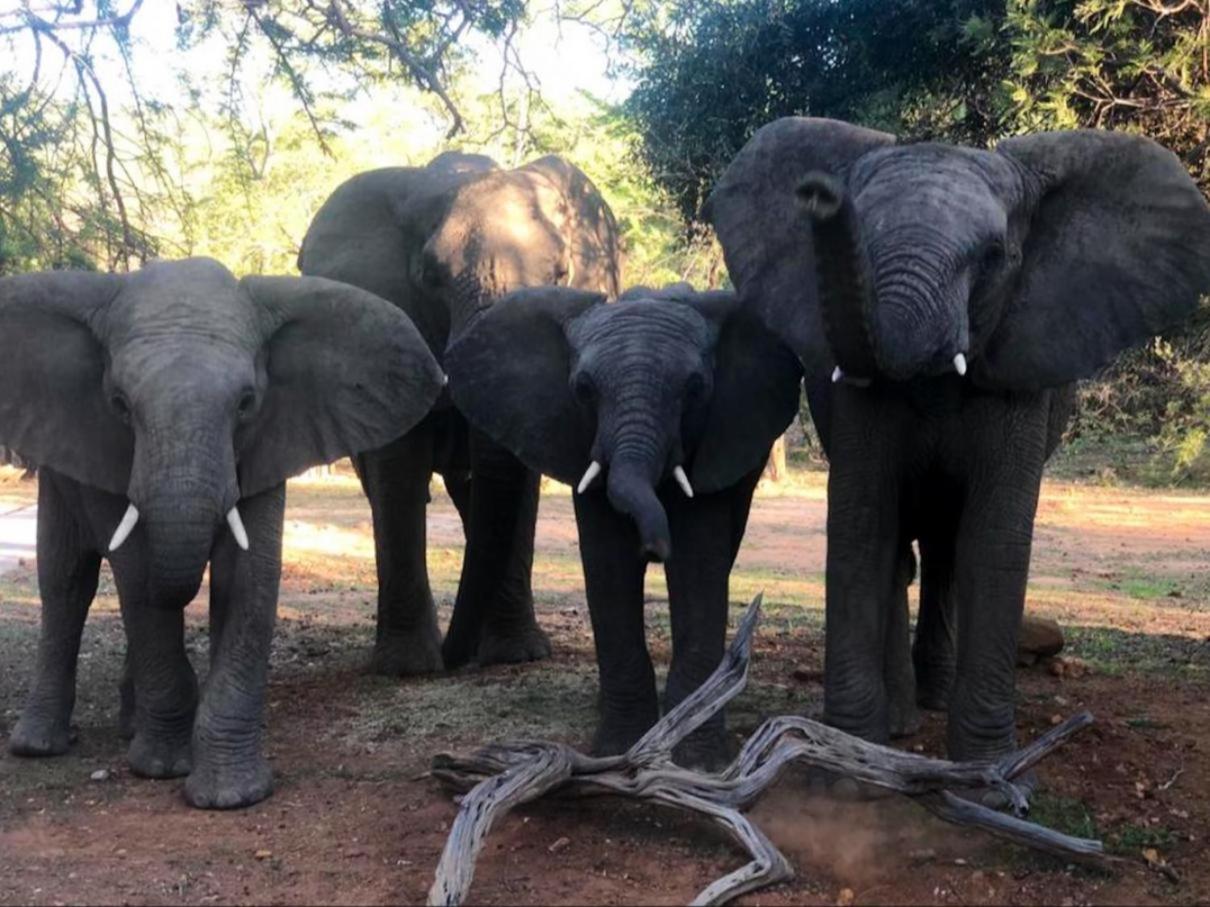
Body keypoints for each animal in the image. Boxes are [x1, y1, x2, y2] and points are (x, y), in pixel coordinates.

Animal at [0, 258, 443, 808]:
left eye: (246, 403)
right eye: (120, 404)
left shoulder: (273, 435)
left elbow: (248, 575)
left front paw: (230, 795)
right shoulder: (98, 440)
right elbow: (137, 575)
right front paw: (163, 767)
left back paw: (130, 726)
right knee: (65, 582)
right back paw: (39, 745)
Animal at [298, 151, 621, 676]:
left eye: (560, 275)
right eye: (430, 277)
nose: (454, 658)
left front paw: (515, 656)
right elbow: (398, 472)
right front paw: (407, 668)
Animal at [446, 284, 801, 765]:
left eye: (695, 389)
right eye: (582, 389)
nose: (651, 549)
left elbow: (697, 566)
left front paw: (699, 760)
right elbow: (608, 566)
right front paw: (617, 749)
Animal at [705, 118, 1210, 766]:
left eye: (993, 256)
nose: (819, 193)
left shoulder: (1021, 366)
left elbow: (993, 540)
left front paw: (991, 769)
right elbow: (863, 527)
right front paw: (851, 751)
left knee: (946, 549)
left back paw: (936, 701)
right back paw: (904, 719)